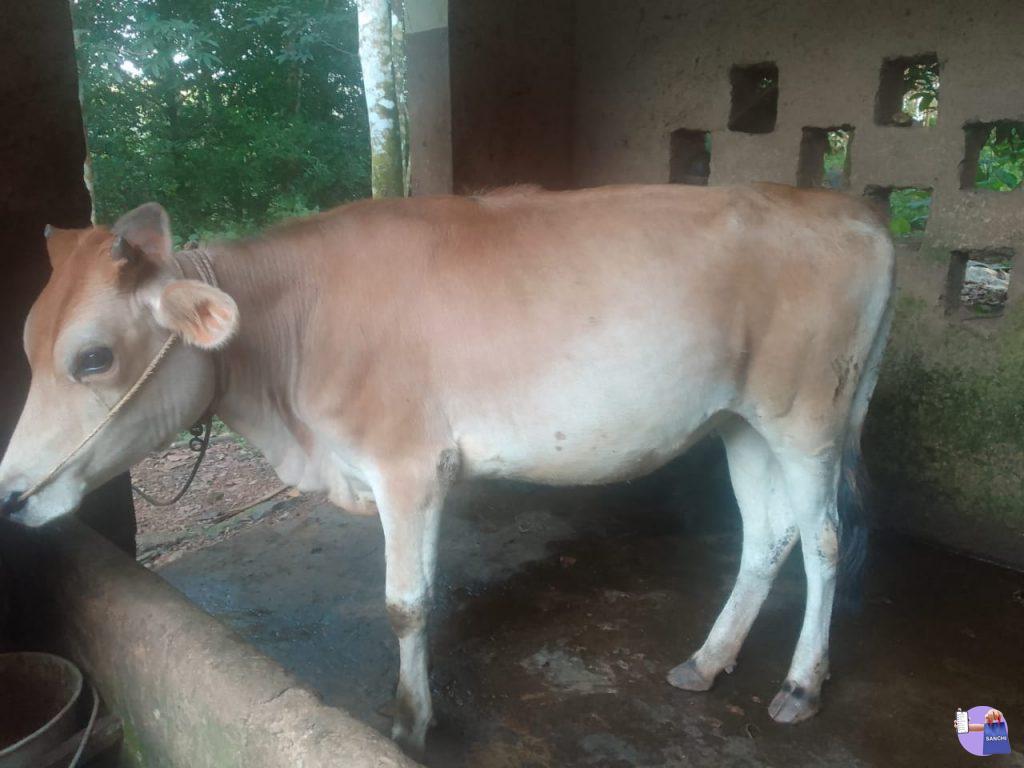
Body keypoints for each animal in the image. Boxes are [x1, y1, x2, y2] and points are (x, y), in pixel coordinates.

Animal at [0, 183, 894, 755]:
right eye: (29, 346)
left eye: (92, 357)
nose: (9, 495)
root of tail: (853, 210)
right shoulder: (419, 474)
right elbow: (423, 595)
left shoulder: (405, 465)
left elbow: (404, 604)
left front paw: (408, 721)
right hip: (742, 421)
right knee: (767, 537)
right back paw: (708, 661)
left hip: (808, 417)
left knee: (823, 540)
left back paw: (803, 686)